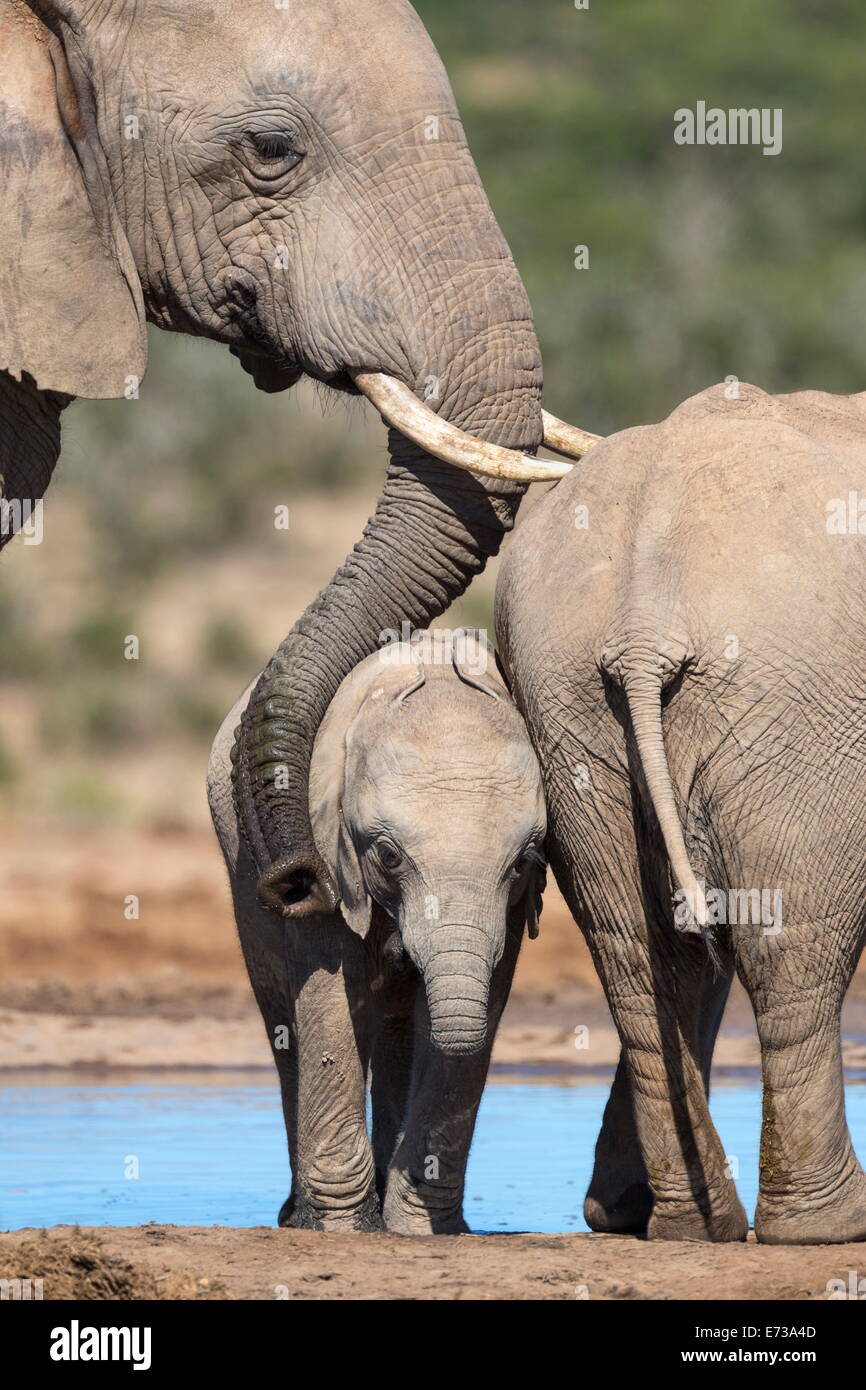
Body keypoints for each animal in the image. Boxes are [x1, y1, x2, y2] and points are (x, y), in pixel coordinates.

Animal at [209, 625, 544, 1234]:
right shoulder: (324, 849)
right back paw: (295, 1216)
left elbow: (465, 1011)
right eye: (388, 855)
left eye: (521, 863)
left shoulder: (510, 910)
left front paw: (421, 1229)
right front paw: (346, 1228)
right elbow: (333, 1004)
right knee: (284, 1021)